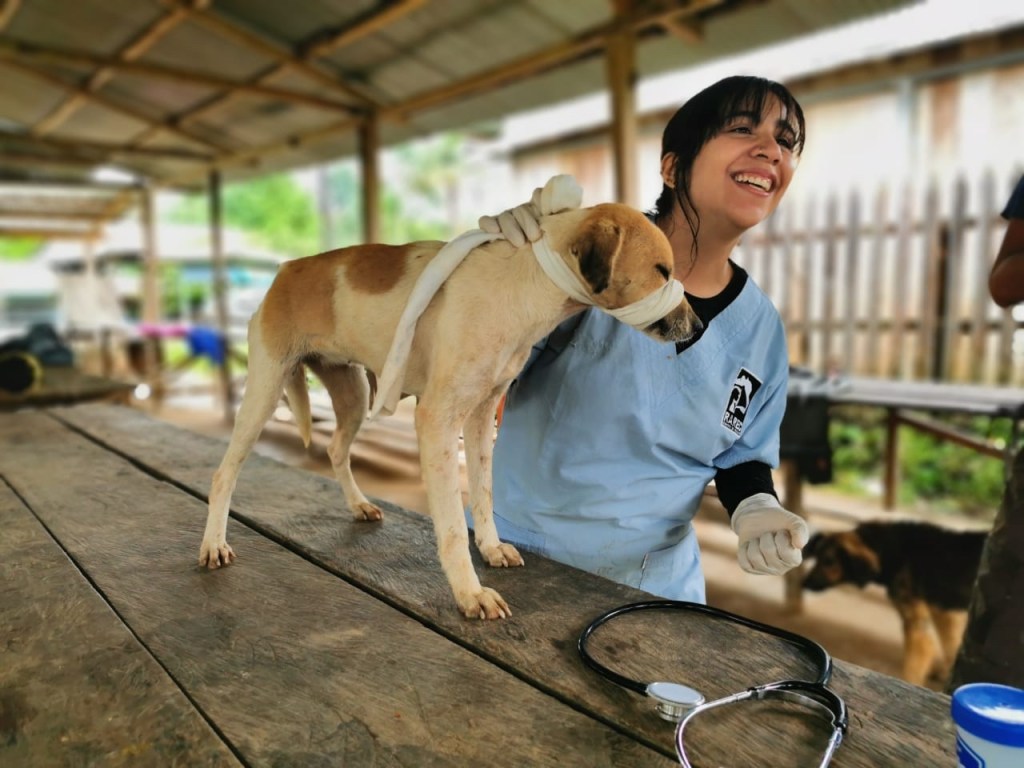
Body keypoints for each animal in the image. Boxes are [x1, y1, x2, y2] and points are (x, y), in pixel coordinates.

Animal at [198, 196, 701, 620]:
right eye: (662, 269)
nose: (697, 328)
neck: (525, 285)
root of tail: (286, 268)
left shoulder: (482, 416)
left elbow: (483, 495)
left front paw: (493, 549)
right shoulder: (437, 419)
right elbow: (454, 527)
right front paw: (469, 592)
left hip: (353, 393)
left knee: (337, 449)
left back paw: (359, 505)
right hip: (265, 390)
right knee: (224, 473)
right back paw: (213, 544)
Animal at [803, 520, 987, 685]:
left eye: (828, 561)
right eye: (817, 558)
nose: (804, 583)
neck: (891, 550)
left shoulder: (918, 622)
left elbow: (916, 663)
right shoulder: (944, 612)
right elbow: (951, 644)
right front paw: (945, 673)